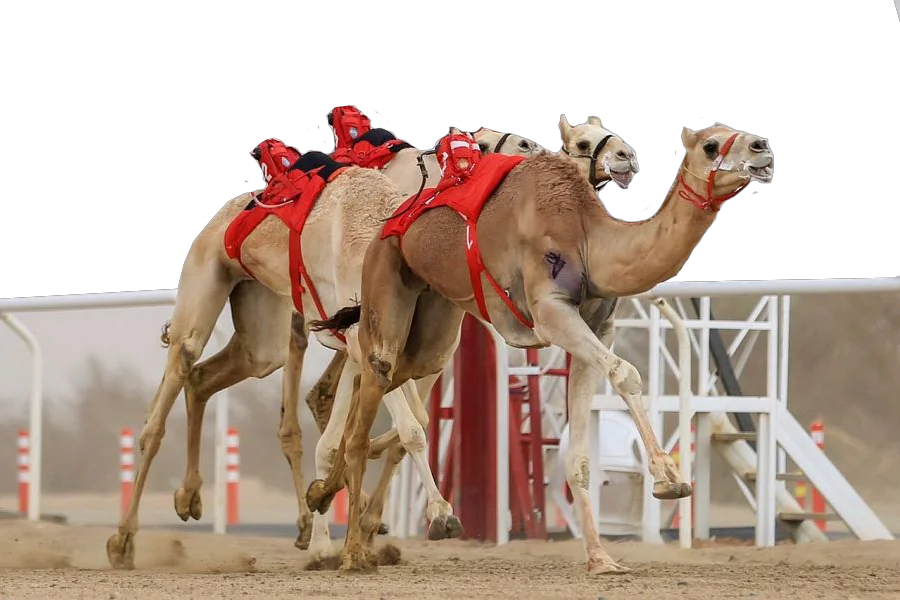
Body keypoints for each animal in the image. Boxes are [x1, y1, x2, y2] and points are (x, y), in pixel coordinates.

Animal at [102, 116, 544, 569]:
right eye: (483, 145)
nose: (535, 147)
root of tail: (219, 219)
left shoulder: (383, 345)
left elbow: (385, 424)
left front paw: (349, 515)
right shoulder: (364, 339)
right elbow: (405, 426)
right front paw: (438, 515)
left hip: (261, 329)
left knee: (208, 377)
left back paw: (190, 498)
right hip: (205, 278)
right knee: (167, 398)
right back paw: (123, 542)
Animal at [306, 118, 776, 574]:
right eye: (711, 145)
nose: (762, 149)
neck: (591, 242)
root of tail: (392, 222)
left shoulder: (598, 328)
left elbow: (582, 456)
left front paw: (601, 559)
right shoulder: (553, 312)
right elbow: (626, 373)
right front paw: (669, 477)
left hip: (435, 322)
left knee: (379, 386)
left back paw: (322, 494)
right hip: (386, 280)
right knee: (375, 377)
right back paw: (352, 554)